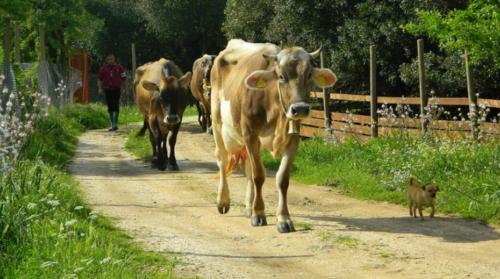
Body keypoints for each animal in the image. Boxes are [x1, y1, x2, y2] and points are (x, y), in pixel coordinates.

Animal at [210, 38, 336, 232]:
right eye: (281, 76)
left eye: (308, 75)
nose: (300, 109)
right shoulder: (251, 134)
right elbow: (258, 176)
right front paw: (258, 214)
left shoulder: (293, 138)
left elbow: (282, 179)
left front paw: (283, 218)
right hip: (217, 122)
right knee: (222, 160)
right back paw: (223, 201)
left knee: (247, 168)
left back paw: (248, 207)